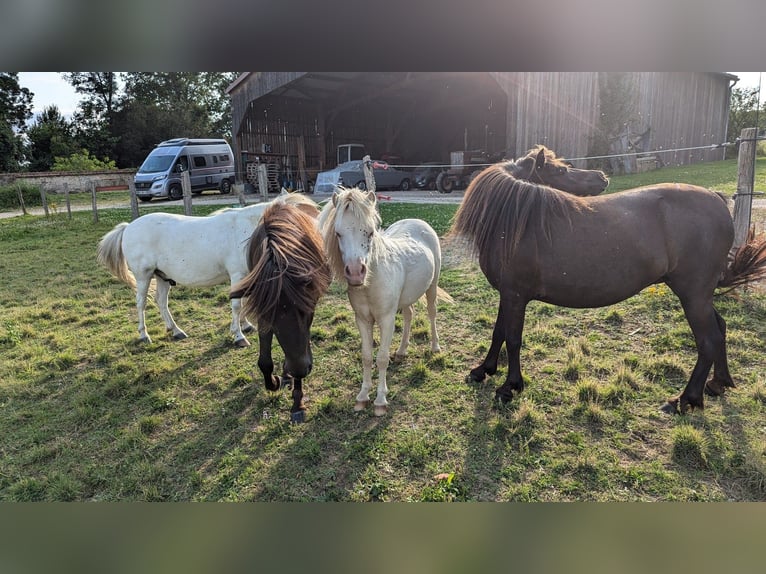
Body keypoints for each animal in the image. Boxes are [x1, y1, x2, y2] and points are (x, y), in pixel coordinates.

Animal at [232, 199, 332, 424]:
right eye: (271, 315)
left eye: (305, 311)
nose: (301, 369)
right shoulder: (263, 315)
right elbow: (265, 361)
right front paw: (276, 381)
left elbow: (300, 349)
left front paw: (297, 403)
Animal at [450, 164, 766, 416]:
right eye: (560, 170)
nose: (601, 177)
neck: (517, 222)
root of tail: (716, 199)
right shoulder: (508, 295)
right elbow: (499, 332)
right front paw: (483, 370)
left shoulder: (515, 295)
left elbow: (513, 339)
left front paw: (509, 387)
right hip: (700, 296)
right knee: (720, 329)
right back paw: (718, 383)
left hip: (693, 296)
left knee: (708, 340)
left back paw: (686, 399)